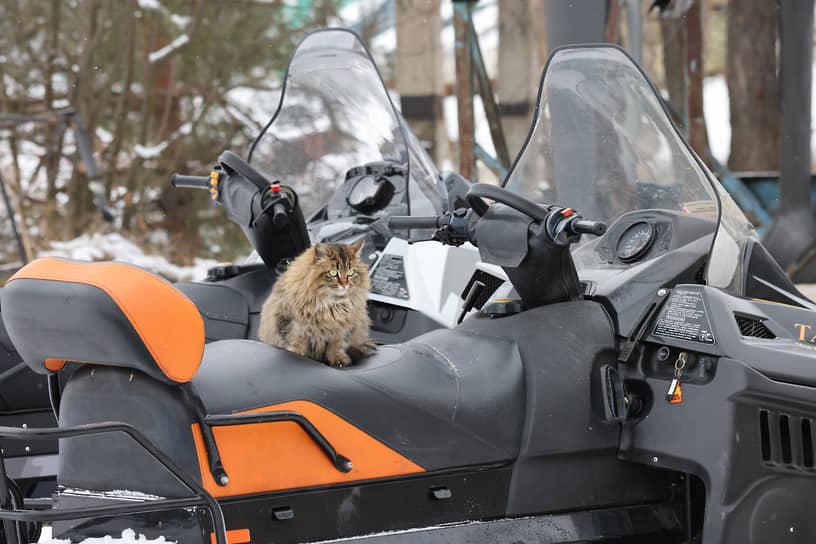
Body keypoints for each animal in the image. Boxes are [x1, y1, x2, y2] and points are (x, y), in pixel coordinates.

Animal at [258, 240, 376, 368]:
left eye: (351, 272)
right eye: (333, 273)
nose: (344, 285)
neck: (332, 304)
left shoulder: (342, 329)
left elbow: (336, 347)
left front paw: (339, 361)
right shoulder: (293, 328)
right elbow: (296, 347)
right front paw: (298, 357)